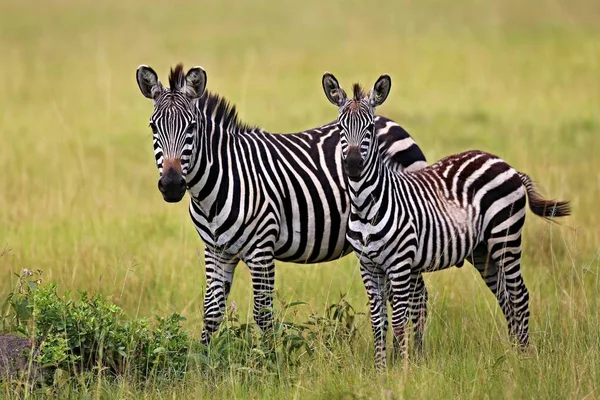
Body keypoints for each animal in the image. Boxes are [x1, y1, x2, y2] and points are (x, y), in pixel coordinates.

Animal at [134, 63, 428, 344]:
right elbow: (211, 313)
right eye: (153, 127)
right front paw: (203, 361)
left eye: (191, 127)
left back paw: (415, 354)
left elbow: (263, 315)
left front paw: (267, 360)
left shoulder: (261, 249)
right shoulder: (216, 251)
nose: (172, 185)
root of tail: (389, 121)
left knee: (418, 299)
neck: (215, 188)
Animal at [318, 71, 568, 368]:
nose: (353, 165)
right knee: (505, 297)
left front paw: (402, 369)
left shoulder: (400, 264)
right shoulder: (368, 266)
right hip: (482, 250)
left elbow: (400, 320)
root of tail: (506, 164)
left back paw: (525, 358)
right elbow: (378, 322)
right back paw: (514, 352)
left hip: (505, 237)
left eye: (369, 129)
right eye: (340, 128)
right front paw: (380, 370)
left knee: (519, 295)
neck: (366, 205)